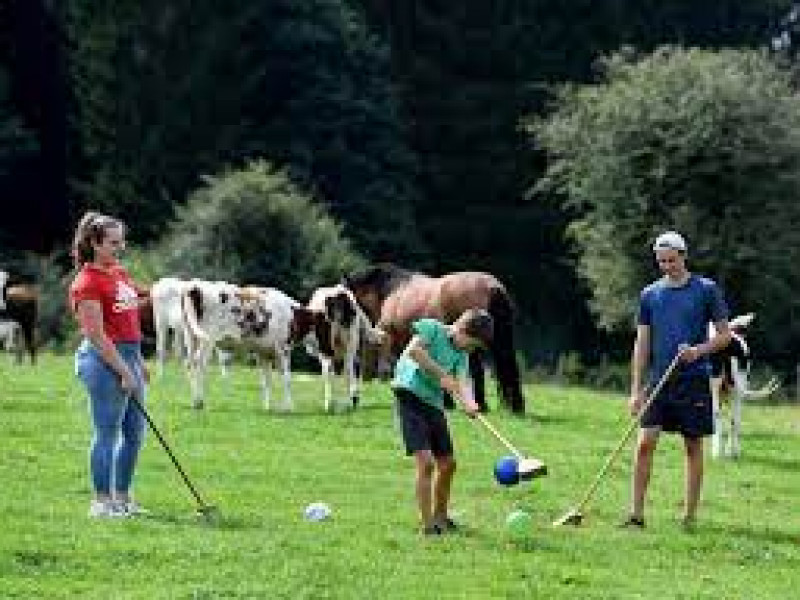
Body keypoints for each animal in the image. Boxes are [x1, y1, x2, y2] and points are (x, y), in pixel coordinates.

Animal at [306, 284, 388, 412]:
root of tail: (337, 294)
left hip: (338, 344)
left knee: (338, 369)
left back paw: (335, 402)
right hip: (348, 341)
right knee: (347, 367)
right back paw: (347, 399)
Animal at [342, 264, 524, 414]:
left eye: (348, 299)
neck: (393, 290)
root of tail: (493, 287)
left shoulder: (397, 341)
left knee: (477, 372)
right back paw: (513, 407)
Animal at [708, 314, 780, 460]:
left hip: (731, 387)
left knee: (728, 416)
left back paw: (726, 452)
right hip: (732, 387)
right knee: (730, 417)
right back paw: (728, 452)